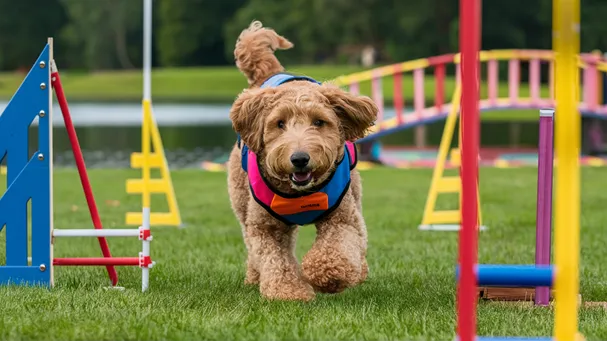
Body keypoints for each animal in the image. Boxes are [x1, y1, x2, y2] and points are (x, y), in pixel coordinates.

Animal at [228, 20, 378, 300]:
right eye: (279, 124)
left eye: (319, 122)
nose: (299, 158)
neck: (300, 194)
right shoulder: (266, 227)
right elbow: (274, 260)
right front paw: (289, 292)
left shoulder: (341, 216)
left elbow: (338, 247)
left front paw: (326, 276)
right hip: (242, 202)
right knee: (253, 250)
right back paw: (254, 278)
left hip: (354, 193)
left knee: (360, 238)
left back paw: (359, 271)